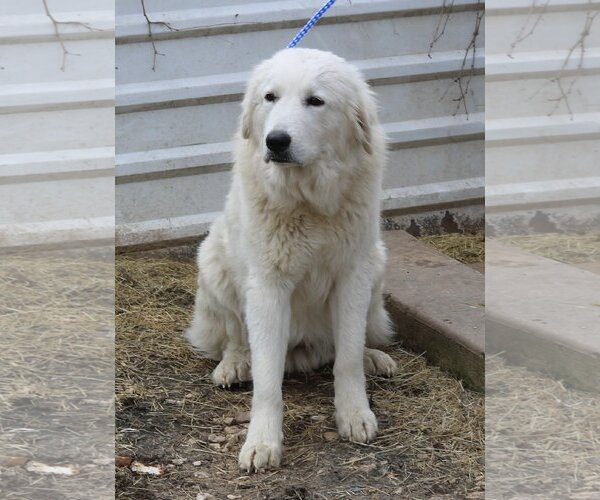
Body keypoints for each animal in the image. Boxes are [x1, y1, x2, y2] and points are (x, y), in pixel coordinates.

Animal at [185, 48, 396, 470]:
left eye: (315, 101)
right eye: (270, 97)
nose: (276, 141)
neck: (307, 200)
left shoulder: (352, 275)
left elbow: (347, 358)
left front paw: (354, 414)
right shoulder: (268, 287)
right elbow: (267, 381)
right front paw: (262, 442)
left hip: (376, 264)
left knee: (343, 346)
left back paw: (372, 357)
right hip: (213, 262)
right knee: (234, 336)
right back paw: (234, 364)